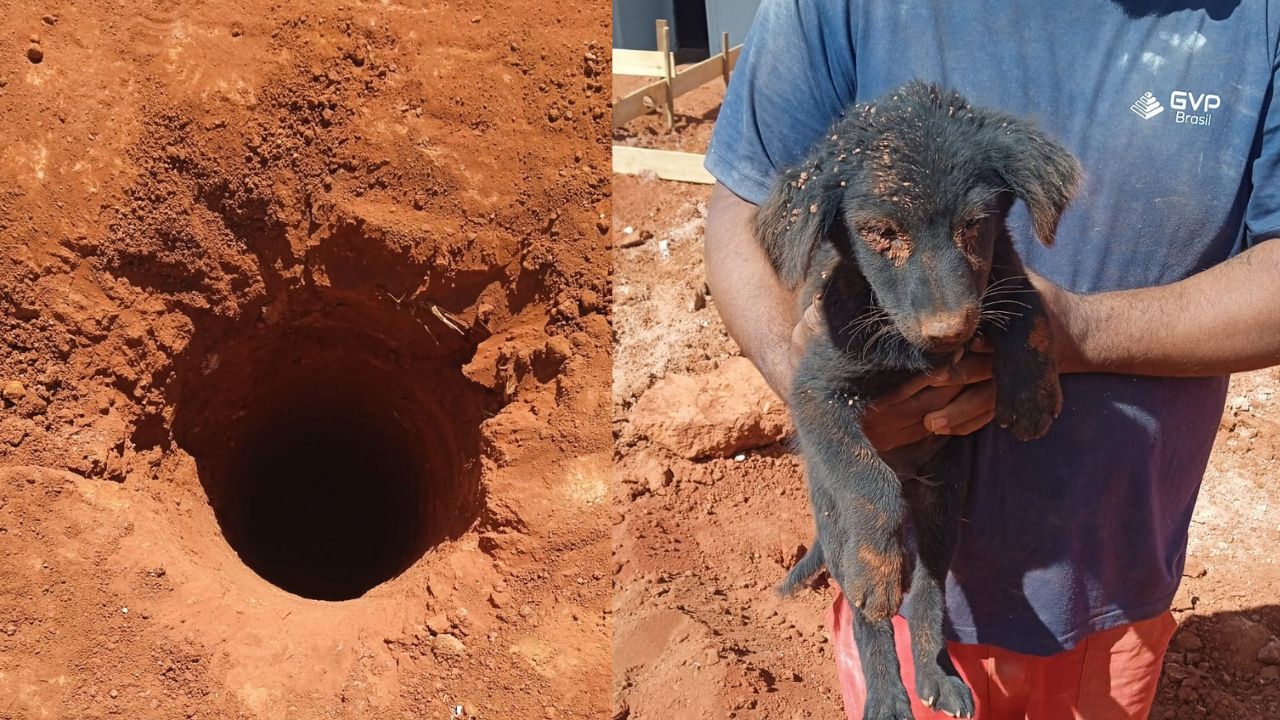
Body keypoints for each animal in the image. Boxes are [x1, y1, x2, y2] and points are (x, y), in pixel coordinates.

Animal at [757, 81, 1080, 712]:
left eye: (974, 224)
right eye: (881, 233)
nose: (947, 331)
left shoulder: (1002, 273)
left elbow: (1026, 305)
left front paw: (1031, 395)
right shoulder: (816, 392)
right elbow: (868, 478)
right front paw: (879, 570)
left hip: (943, 504)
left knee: (929, 591)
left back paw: (936, 675)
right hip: (834, 516)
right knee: (872, 613)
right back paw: (887, 696)